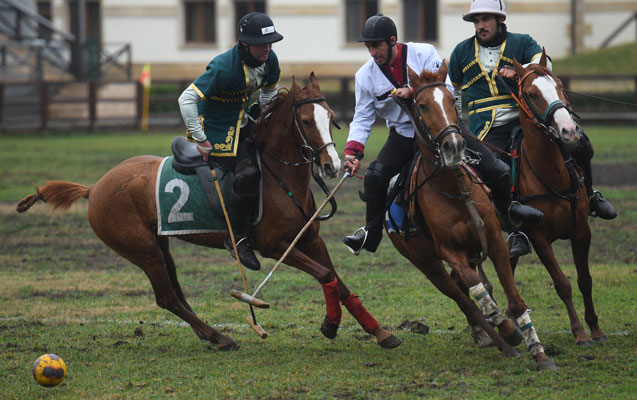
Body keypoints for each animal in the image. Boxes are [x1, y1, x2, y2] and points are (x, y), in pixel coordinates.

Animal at [17, 73, 400, 352]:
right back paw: (220, 336)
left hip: (160, 244)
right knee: (166, 297)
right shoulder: (275, 247)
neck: (278, 174)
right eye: (306, 121)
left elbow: (337, 280)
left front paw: (379, 332)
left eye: (331, 118)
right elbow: (323, 275)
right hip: (142, 249)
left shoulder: (309, 240)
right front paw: (330, 324)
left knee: (176, 294)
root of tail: (94, 187)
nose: (333, 165)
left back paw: (210, 335)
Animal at [382, 63, 556, 372]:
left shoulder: (494, 242)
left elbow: (513, 299)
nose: (453, 146)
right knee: (464, 299)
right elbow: (479, 296)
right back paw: (502, 342)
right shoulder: (450, 252)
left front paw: (539, 353)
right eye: (422, 106)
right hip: (427, 264)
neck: (455, 188)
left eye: (453, 101)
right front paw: (508, 330)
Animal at [502, 49, 608, 344]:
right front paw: (580, 332)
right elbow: (562, 283)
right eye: (532, 93)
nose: (569, 131)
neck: (551, 173)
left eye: (559, 85)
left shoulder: (581, 231)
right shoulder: (539, 238)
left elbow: (585, 279)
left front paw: (595, 329)